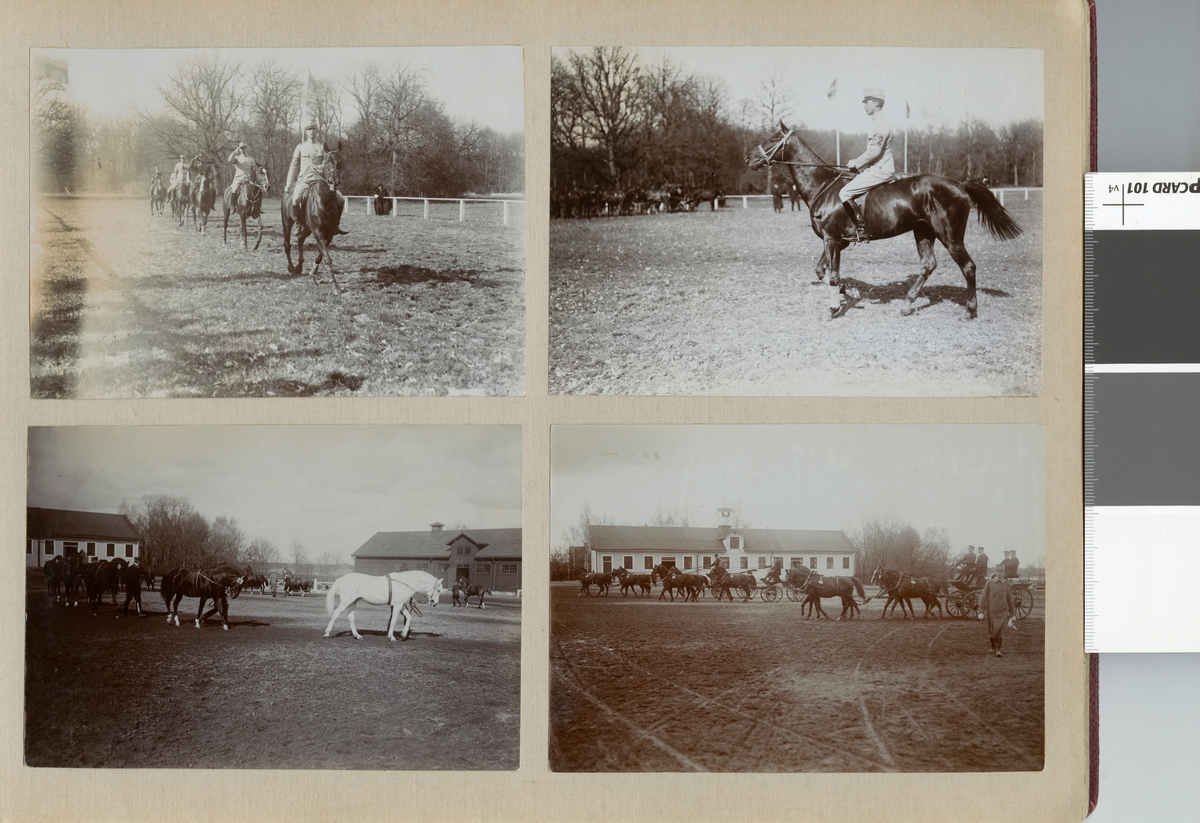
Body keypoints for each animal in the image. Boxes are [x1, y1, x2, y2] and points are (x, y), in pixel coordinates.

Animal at [283, 147, 350, 293]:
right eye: (326, 162)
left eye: (340, 162)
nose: (334, 181)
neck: (324, 200)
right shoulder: (317, 231)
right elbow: (327, 257)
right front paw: (335, 287)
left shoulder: (328, 233)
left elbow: (321, 255)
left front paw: (312, 273)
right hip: (287, 223)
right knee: (287, 244)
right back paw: (291, 267)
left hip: (308, 229)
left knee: (300, 239)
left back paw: (299, 266)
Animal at [748, 122, 1022, 319]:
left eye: (772, 139)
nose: (748, 158)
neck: (823, 185)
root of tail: (960, 183)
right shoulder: (835, 241)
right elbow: (821, 271)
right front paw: (848, 290)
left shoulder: (832, 239)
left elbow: (833, 275)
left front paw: (834, 308)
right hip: (923, 232)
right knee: (928, 265)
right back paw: (908, 303)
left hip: (950, 236)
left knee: (968, 267)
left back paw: (970, 310)